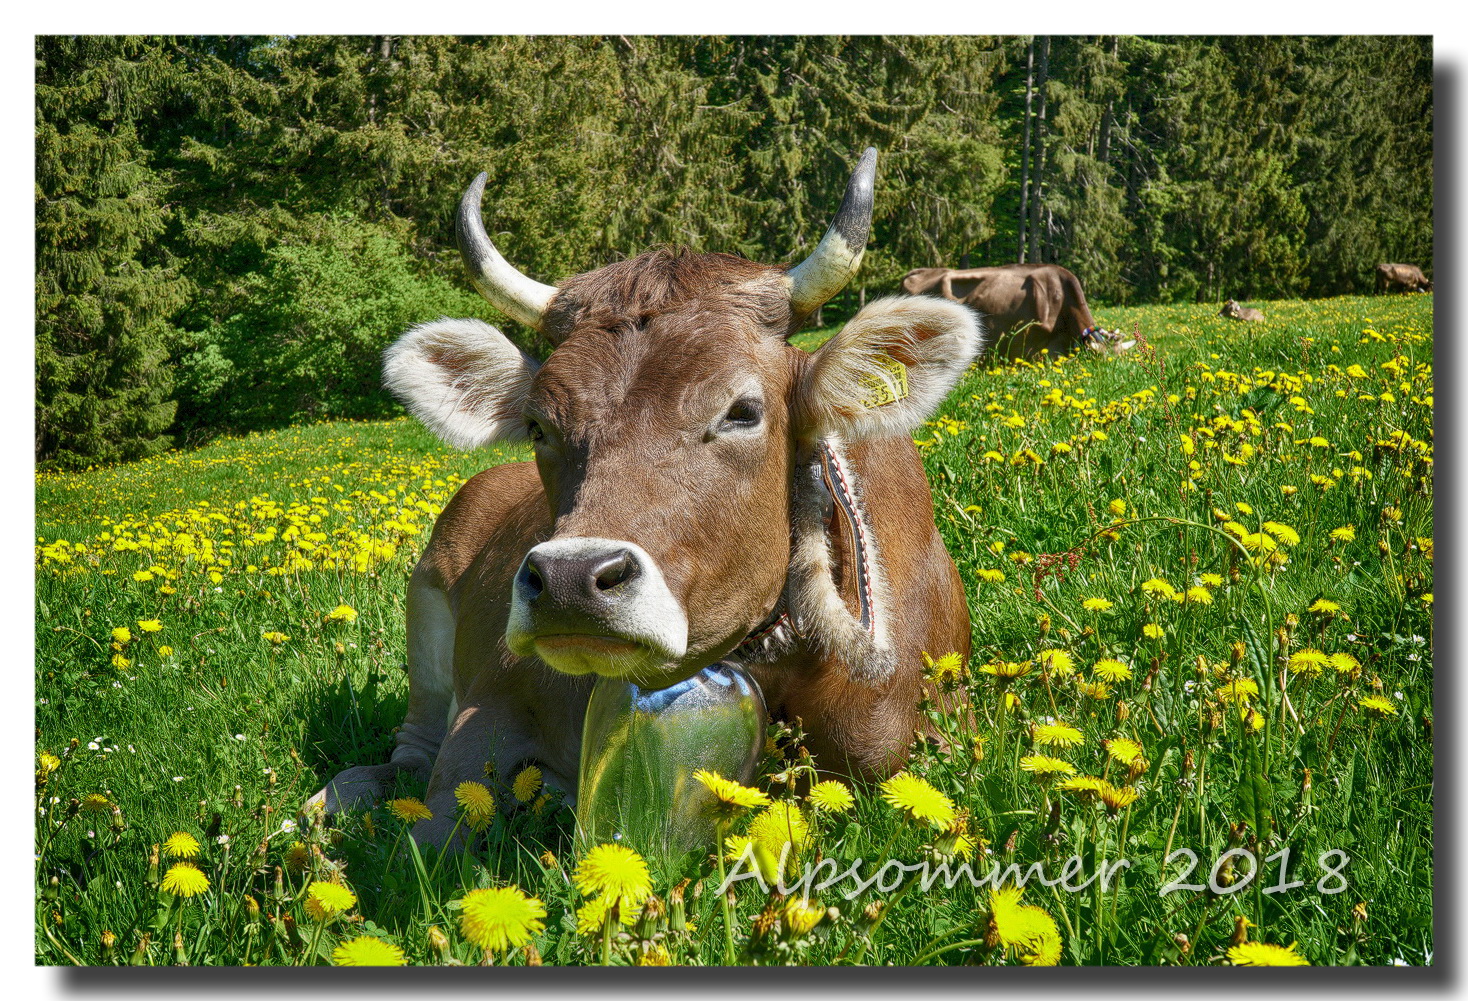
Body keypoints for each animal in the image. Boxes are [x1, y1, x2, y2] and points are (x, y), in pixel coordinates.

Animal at [303, 146, 980, 839]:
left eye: (742, 411)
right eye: (538, 424)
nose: (570, 583)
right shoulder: (488, 702)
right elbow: (438, 822)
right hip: (425, 620)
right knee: (408, 754)